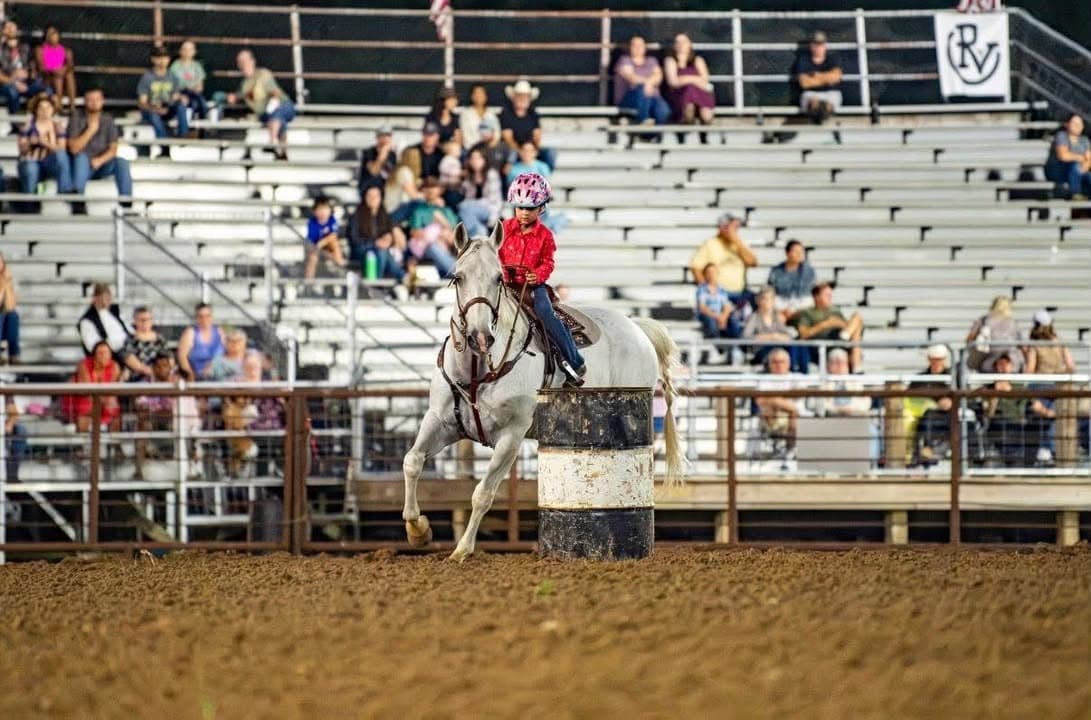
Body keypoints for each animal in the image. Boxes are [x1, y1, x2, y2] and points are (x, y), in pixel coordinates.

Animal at [402, 222, 685, 561]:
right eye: (457, 277)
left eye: (498, 278)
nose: (480, 337)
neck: (477, 373)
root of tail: (638, 328)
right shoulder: (441, 421)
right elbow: (412, 461)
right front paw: (418, 531)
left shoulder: (511, 436)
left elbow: (483, 493)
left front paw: (461, 550)